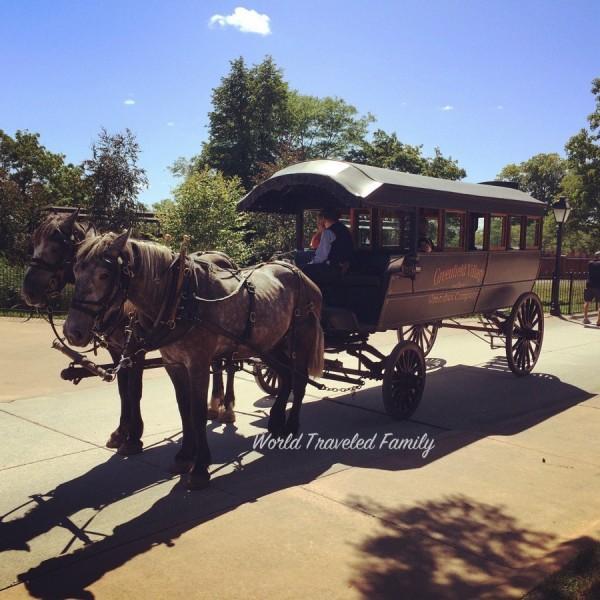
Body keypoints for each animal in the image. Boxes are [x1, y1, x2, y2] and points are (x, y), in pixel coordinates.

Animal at [23, 212, 239, 454]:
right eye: (34, 243)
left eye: (56, 246)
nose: (28, 291)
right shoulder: (117, 350)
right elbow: (122, 389)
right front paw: (121, 432)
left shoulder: (135, 350)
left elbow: (134, 390)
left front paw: (134, 437)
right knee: (217, 365)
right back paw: (214, 404)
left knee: (230, 366)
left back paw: (228, 407)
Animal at [63, 232, 324, 490]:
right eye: (75, 270)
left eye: (104, 274)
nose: (72, 331)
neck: (180, 298)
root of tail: (300, 274)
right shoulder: (174, 364)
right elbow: (183, 408)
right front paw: (185, 455)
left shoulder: (197, 364)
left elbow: (196, 412)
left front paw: (200, 467)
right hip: (270, 344)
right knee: (286, 376)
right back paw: (277, 422)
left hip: (301, 338)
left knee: (299, 381)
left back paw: (291, 426)